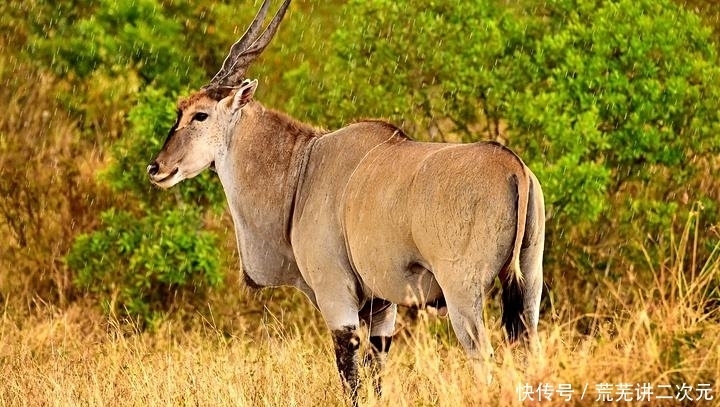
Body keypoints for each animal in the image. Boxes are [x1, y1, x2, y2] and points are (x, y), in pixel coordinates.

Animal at [148, 0, 544, 402]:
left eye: (199, 114)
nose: (156, 167)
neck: (304, 168)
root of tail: (514, 168)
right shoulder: (381, 308)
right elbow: (376, 375)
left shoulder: (336, 297)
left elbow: (350, 377)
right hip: (529, 287)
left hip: (463, 296)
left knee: (484, 358)